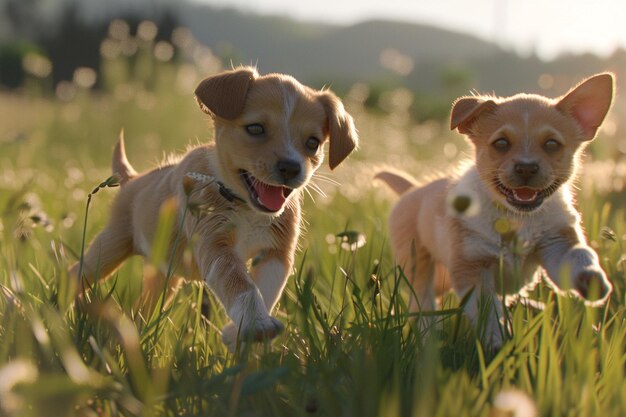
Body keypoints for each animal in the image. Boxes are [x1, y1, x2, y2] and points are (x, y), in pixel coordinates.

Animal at [69, 67, 356, 348]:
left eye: (313, 143)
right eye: (255, 128)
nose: (290, 167)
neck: (245, 207)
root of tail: (132, 178)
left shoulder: (277, 254)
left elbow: (266, 290)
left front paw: (238, 332)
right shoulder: (215, 246)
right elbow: (240, 284)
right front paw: (255, 323)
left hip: (163, 276)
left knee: (142, 308)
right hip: (108, 249)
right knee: (75, 273)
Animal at [376, 73, 608, 346]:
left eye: (552, 144)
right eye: (501, 143)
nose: (526, 167)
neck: (517, 218)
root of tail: (412, 188)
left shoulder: (557, 244)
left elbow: (580, 254)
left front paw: (591, 279)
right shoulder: (473, 267)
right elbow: (488, 313)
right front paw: (498, 344)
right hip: (417, 262)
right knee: (421, 301)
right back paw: (429, 336)